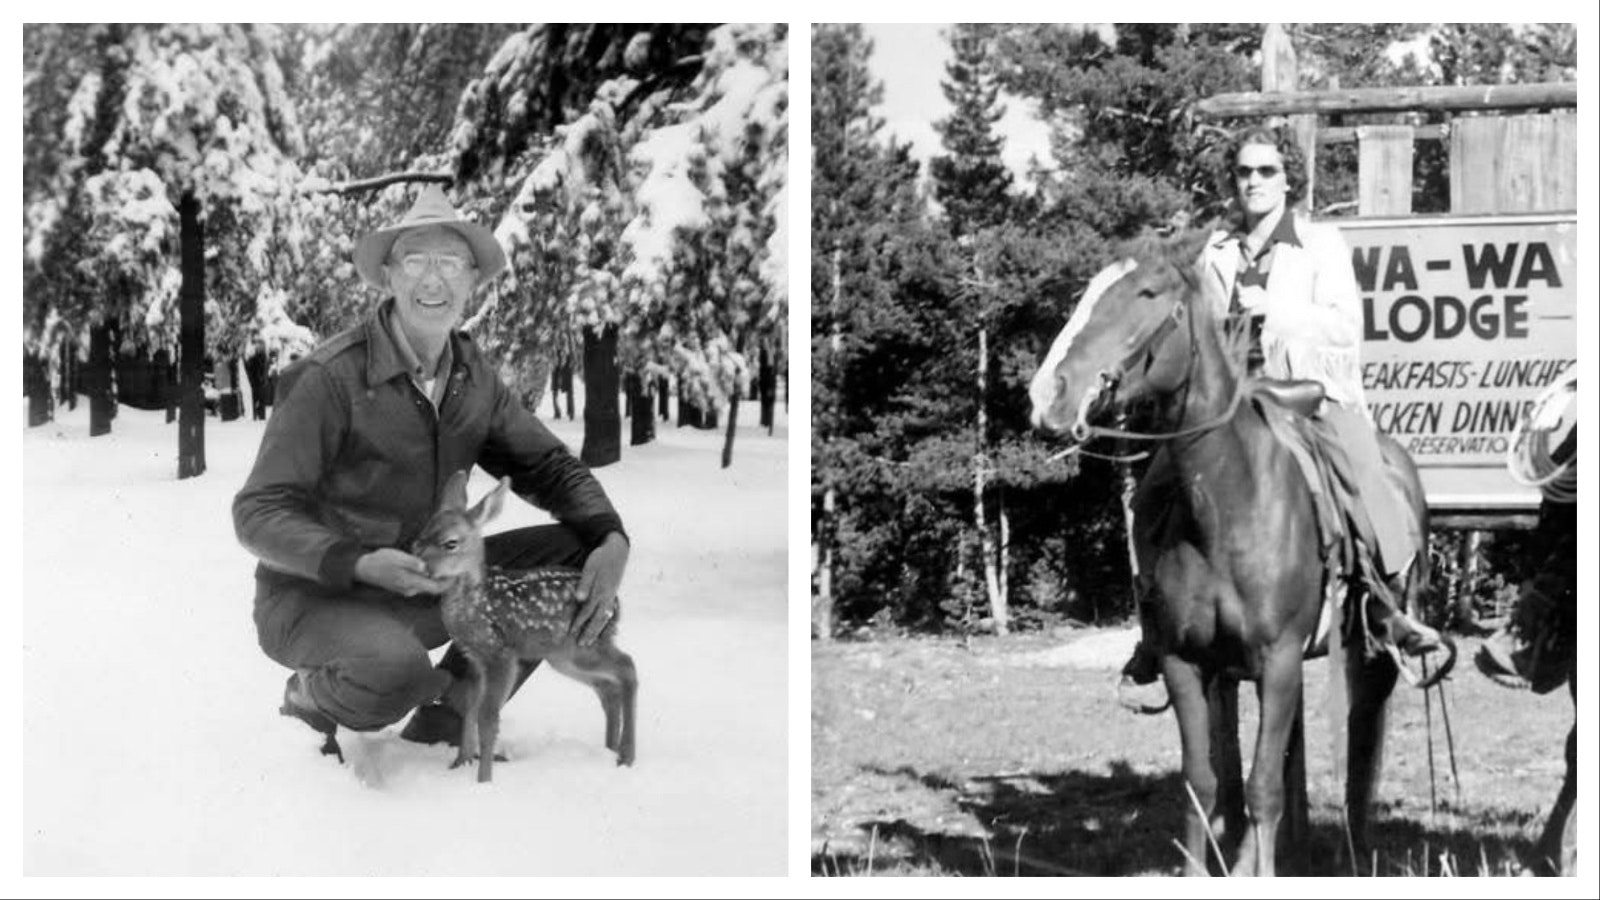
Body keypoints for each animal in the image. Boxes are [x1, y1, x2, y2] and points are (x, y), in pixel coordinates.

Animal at [1036, 235, 1440, 871]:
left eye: (1147, 292)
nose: (1050, 392)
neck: (1226, 504)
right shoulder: (1184, 662)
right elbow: (1205, 781)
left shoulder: (1279, 658)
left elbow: (1264, 785)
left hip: (1371, 650)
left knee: (1359, 745)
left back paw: (1352, 852)